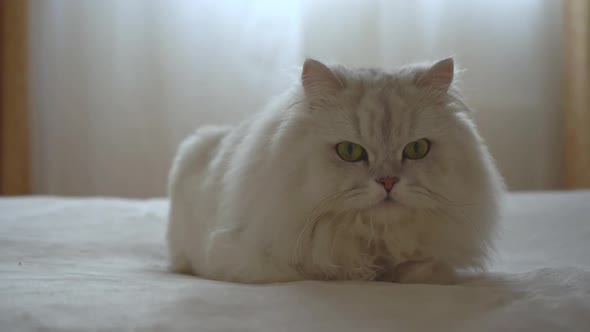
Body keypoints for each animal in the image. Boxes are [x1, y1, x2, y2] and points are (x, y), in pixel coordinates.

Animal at [166, 57, 504, 286]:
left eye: (417, 149)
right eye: (350, 152)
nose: (388, 181)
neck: (376, 243)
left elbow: (424, 271)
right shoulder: (249, 258)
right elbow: (320, 269)